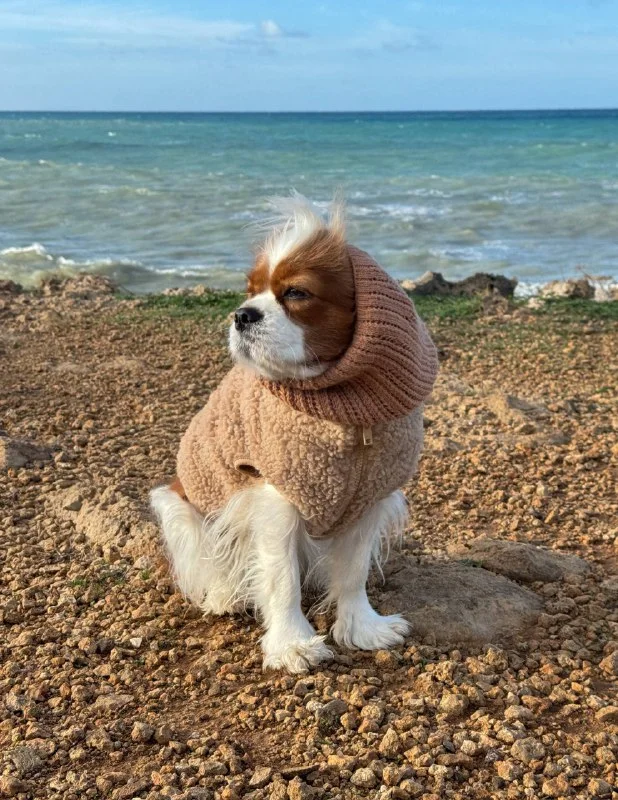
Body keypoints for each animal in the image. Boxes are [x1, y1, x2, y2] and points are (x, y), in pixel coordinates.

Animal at [150, 194, 438, 673]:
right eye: (249, 291)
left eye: (297, 293)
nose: (241, 314)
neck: (343, 406)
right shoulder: (275, 497)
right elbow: (281, 577)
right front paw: (293, 644)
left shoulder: (369, 499)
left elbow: (354, 571)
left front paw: (362, 627)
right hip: (182, 508)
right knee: (213, 561)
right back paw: (225, 595)